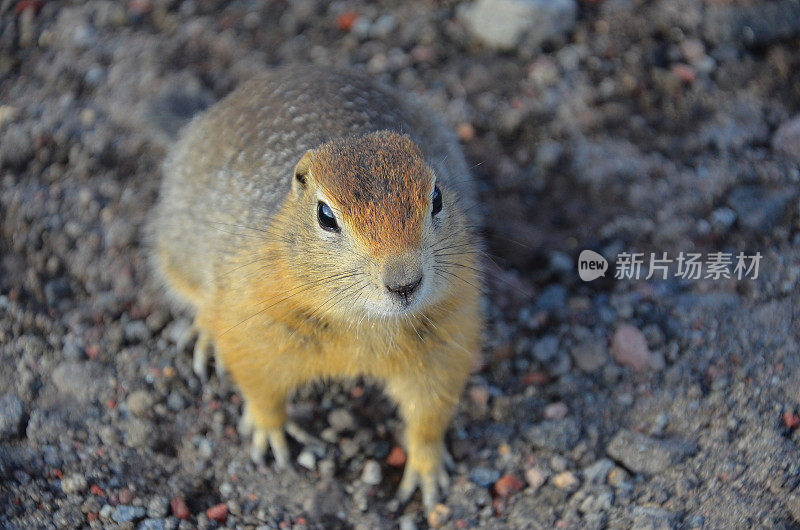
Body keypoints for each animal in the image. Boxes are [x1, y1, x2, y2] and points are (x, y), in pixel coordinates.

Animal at [149, 66, 482, 508]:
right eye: (325, 216)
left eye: (438, 197)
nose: (405, 282)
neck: (363, 322)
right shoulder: (252, 319)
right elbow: (258, 385)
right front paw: (271, 433)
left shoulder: (447, 334)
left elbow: (430, 409)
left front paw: (427, 471)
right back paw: (205, 335)